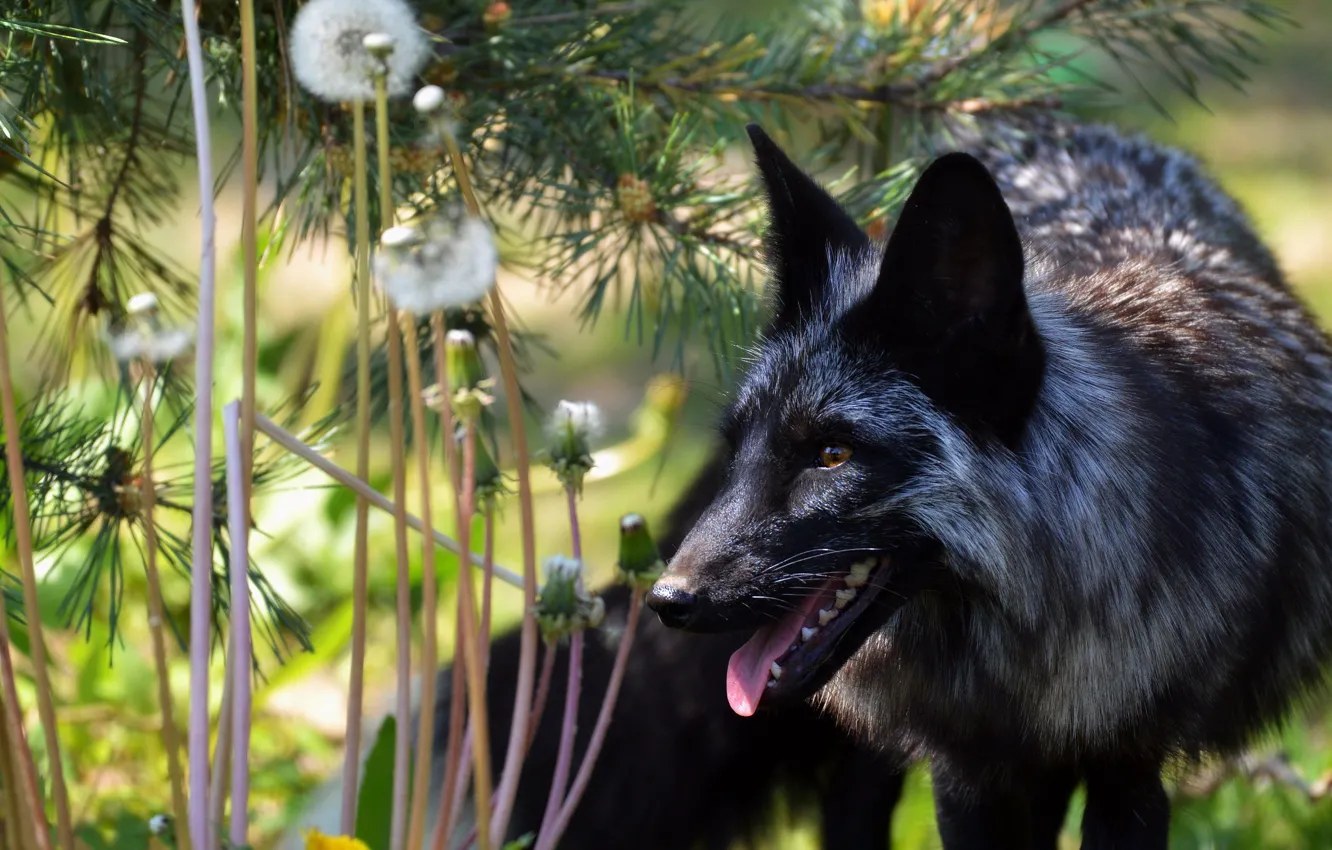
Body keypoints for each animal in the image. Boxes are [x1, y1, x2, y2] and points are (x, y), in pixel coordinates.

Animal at [646, 115, 1332, 849]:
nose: (666, 600)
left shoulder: (1128, 768)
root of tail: (1049, 122)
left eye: (832, 455)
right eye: (738, 446)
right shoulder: (962, 776)